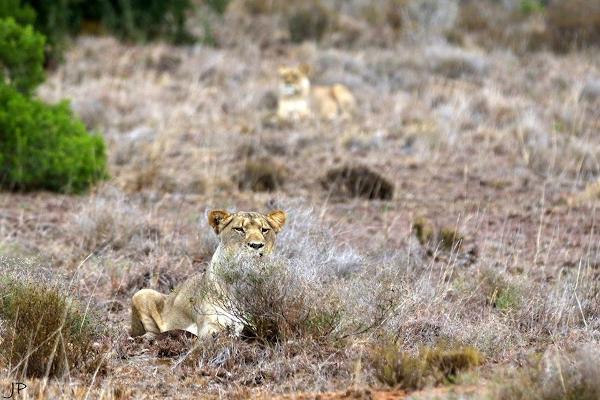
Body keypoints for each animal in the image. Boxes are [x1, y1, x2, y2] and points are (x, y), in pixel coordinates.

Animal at [131, 209, 286, 338]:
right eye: (239, 229)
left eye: (264, 230)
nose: (256, 245)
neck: (243, 282)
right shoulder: (209, 325)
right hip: (141, 293)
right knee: (151, 332)